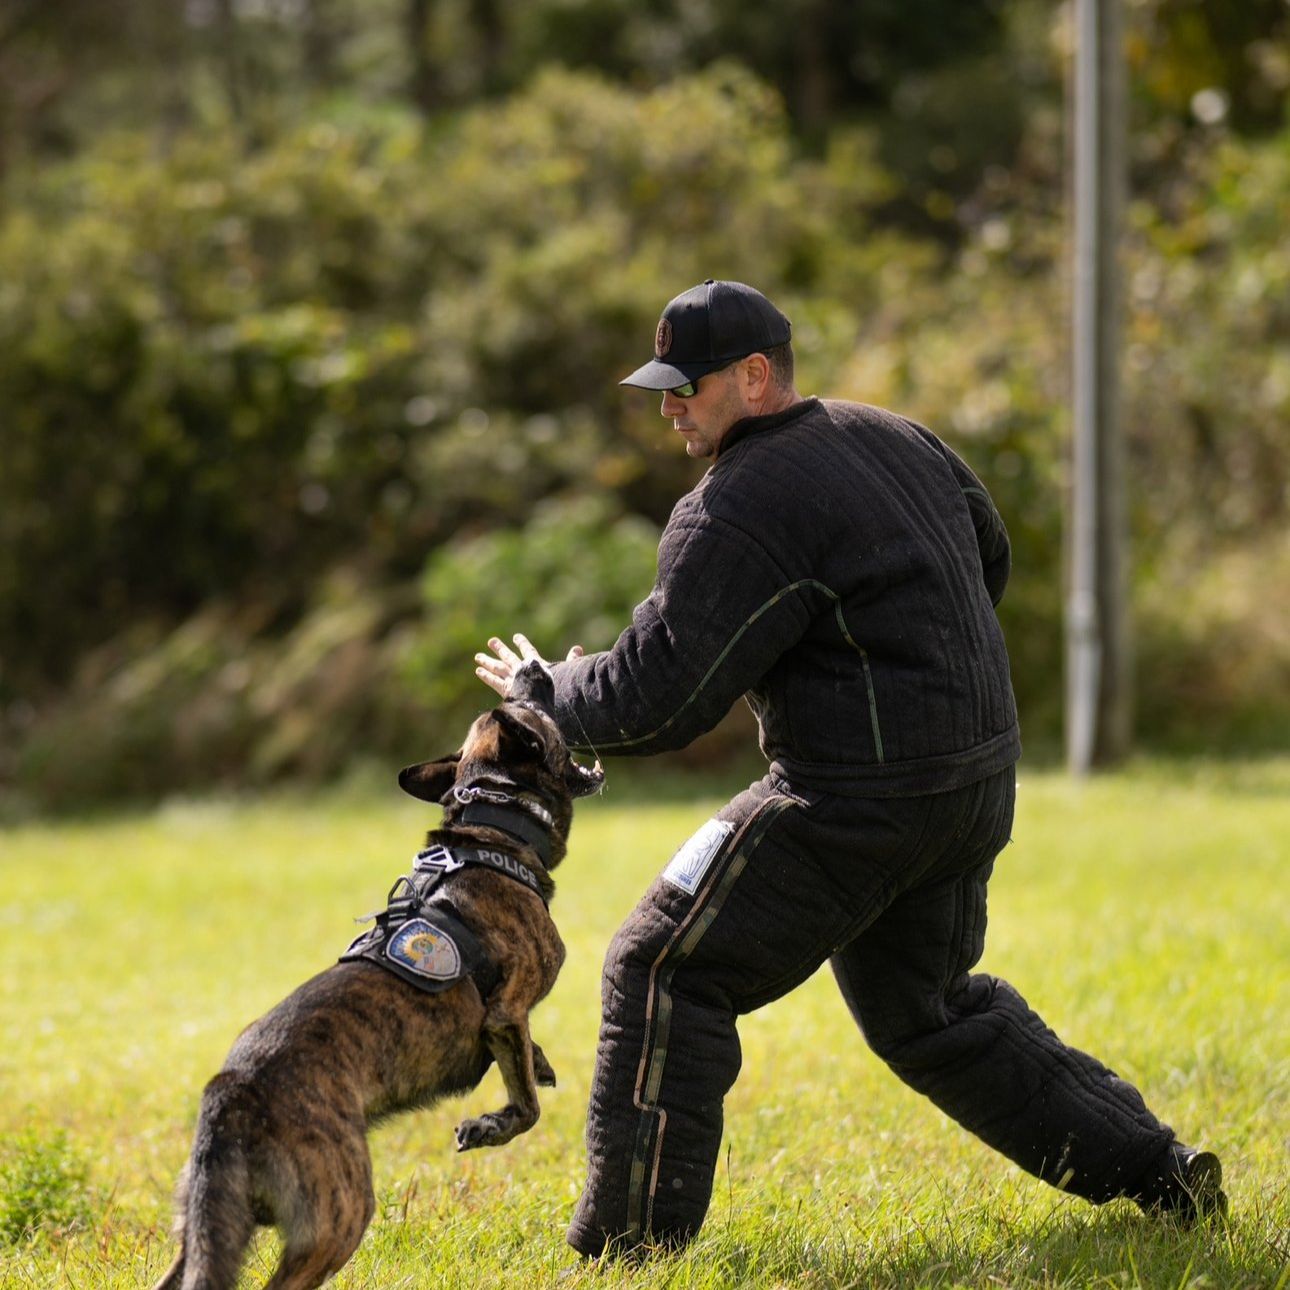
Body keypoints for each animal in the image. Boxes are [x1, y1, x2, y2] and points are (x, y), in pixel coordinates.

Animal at [153, 671, 603, 1290]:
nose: (534, 671)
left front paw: (536, 1064)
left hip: (207, 1232)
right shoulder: (507, 1010)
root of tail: (231, 1094)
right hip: (339, 1214)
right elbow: (528, 1107)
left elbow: (525, 1064)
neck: (493, 830)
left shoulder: (506, 1024)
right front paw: (490, 1125)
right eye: (528, 703)